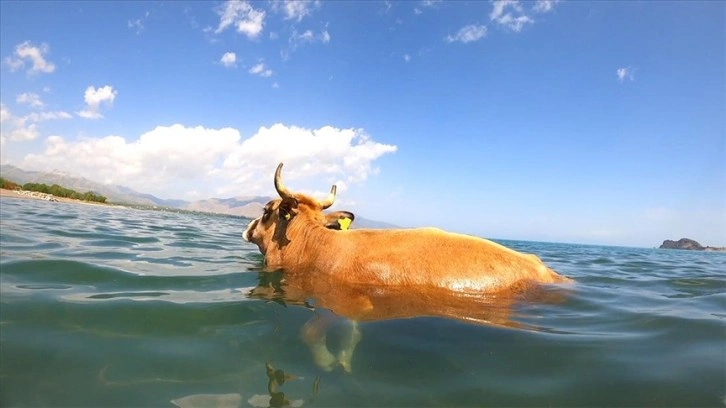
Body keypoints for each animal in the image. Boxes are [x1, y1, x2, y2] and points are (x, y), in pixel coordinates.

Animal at [245, 163, 576, 372]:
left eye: (265, 210)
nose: (247, 228)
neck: (316, 247)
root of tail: (546, 270)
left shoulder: (345, 301)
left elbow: (310, 333)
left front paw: (329, 361)